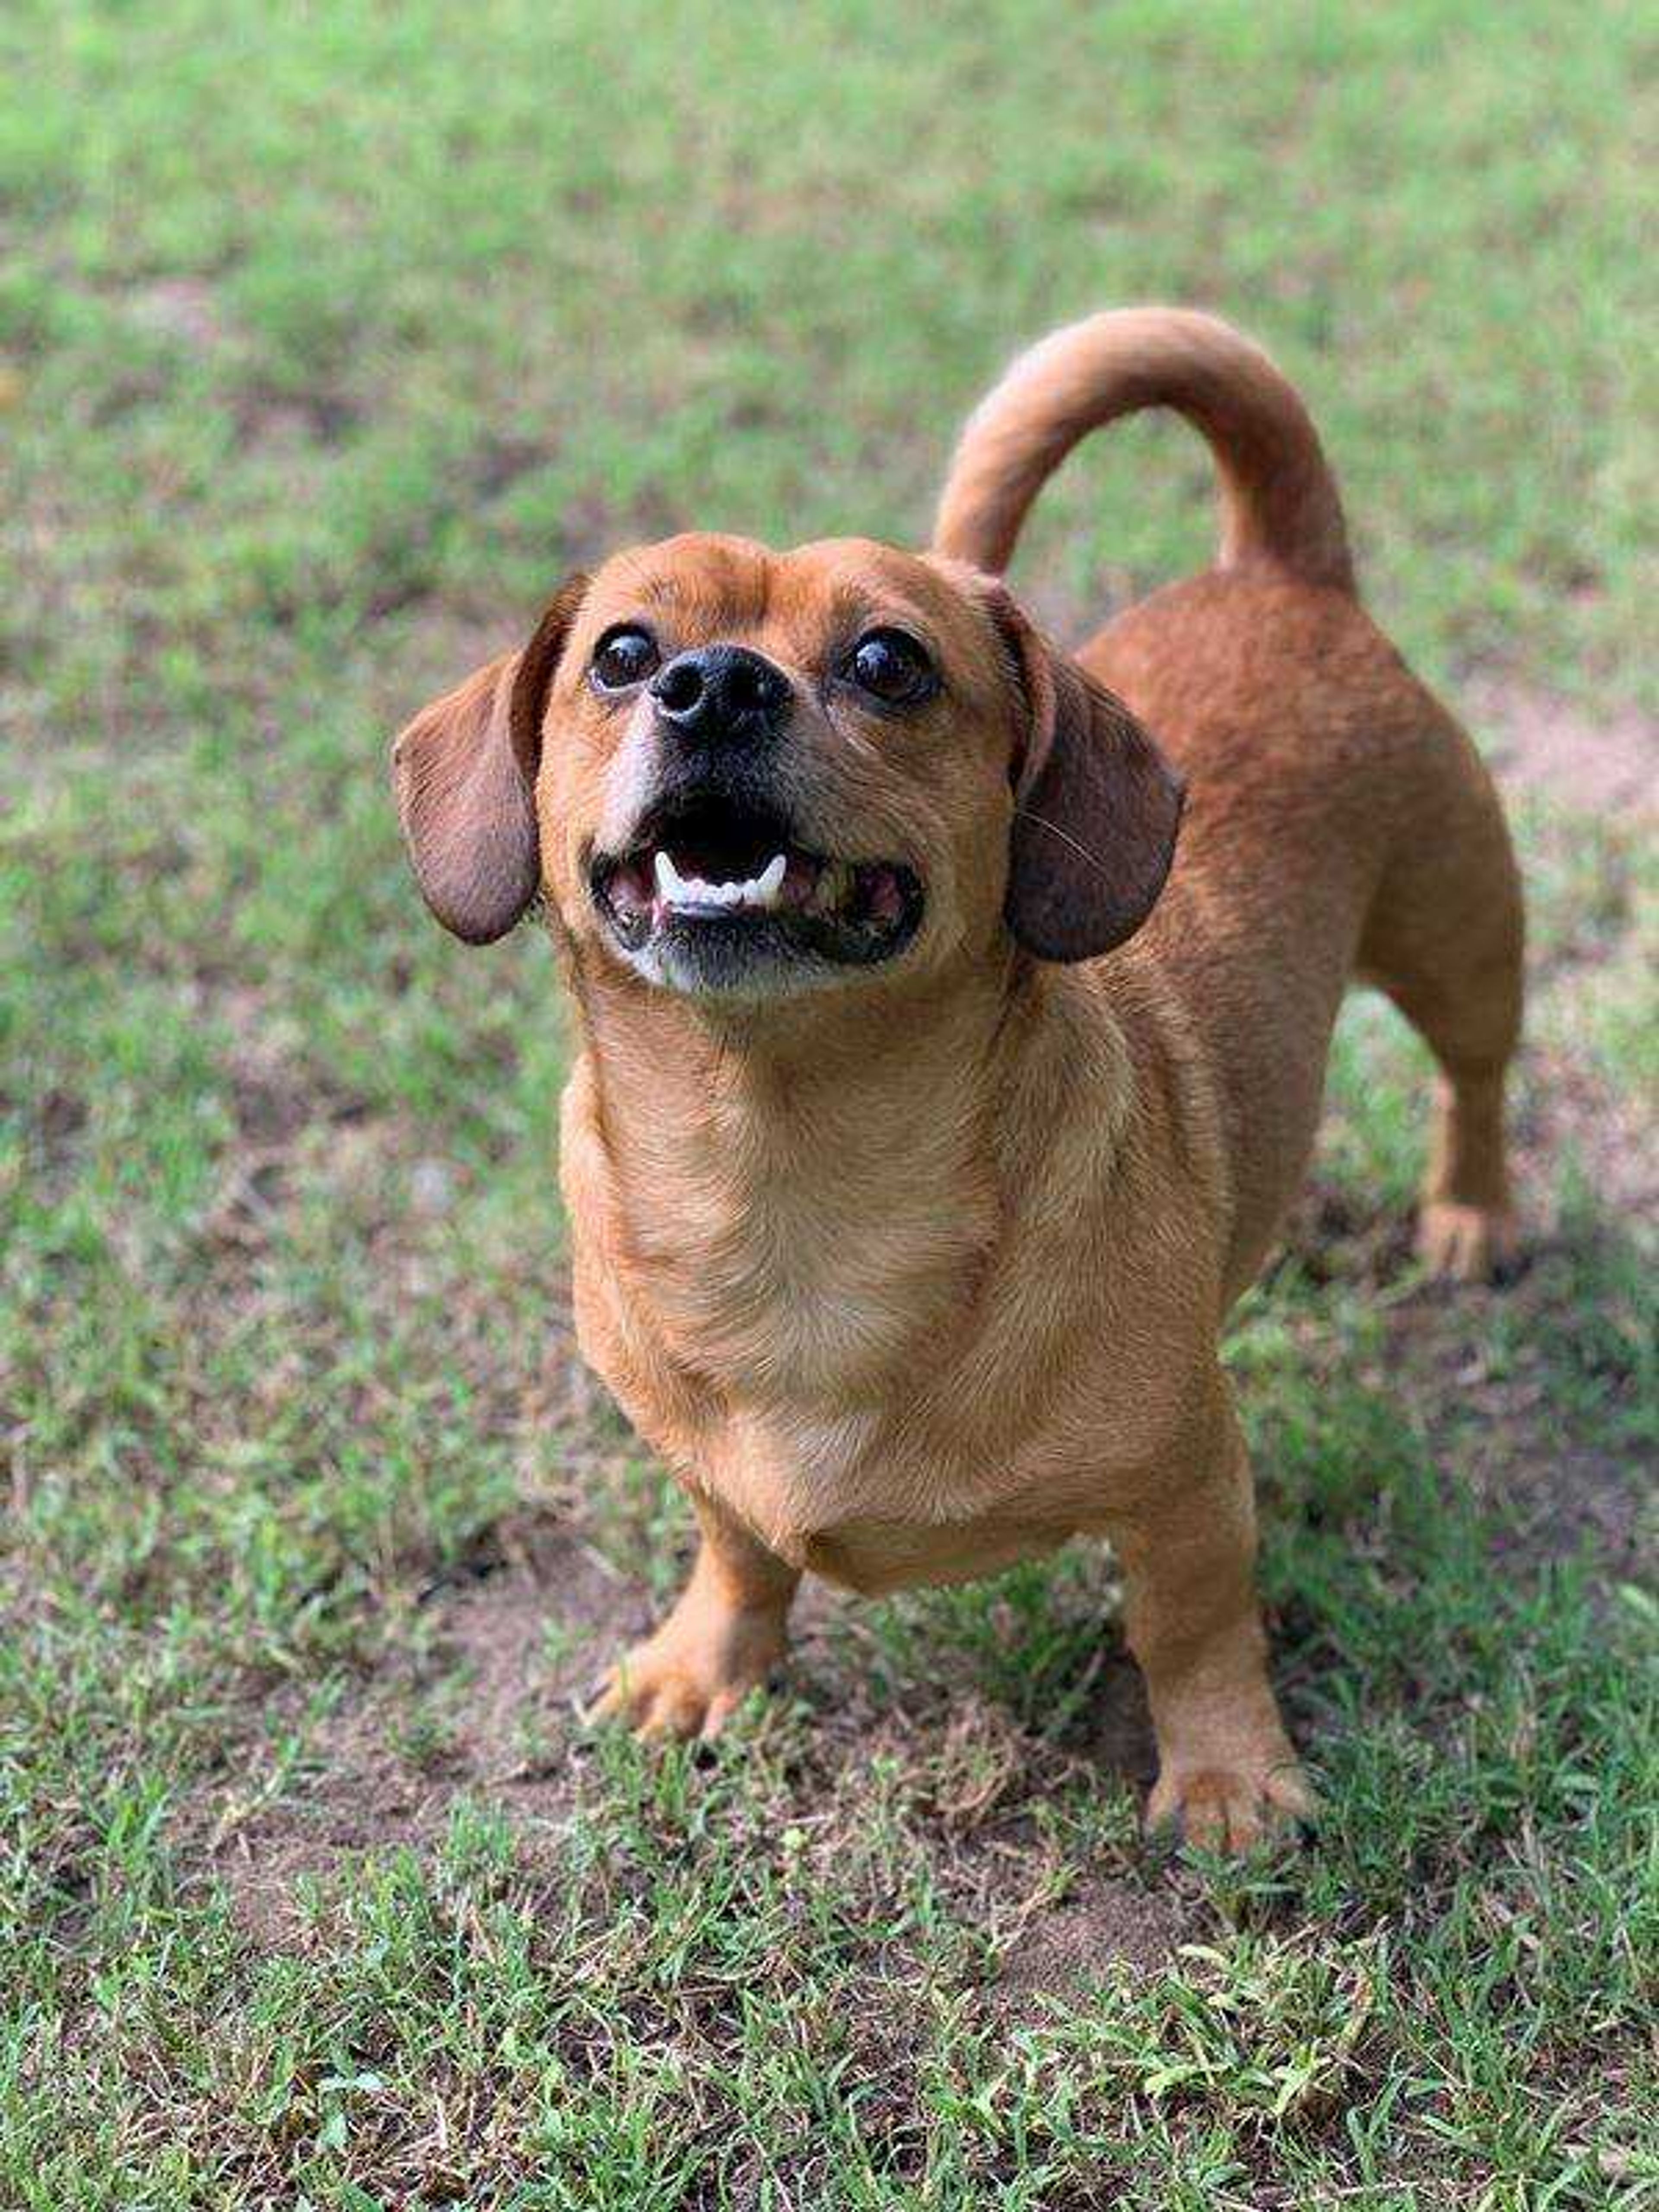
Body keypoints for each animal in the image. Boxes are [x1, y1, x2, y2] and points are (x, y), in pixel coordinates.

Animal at [396, 303, 1531, 1840]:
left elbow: (1191, 1626)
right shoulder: (707, 1475)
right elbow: (741, 1551)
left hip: (1459, 941)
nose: (712, 683)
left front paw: (1228, 1775)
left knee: (1475, 1078)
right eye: (622, 652)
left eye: (890, 663)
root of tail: (1274, 570)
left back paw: (1471, 1213)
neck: (785, 1177)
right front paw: (703, 1667)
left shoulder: (1189, 1485)